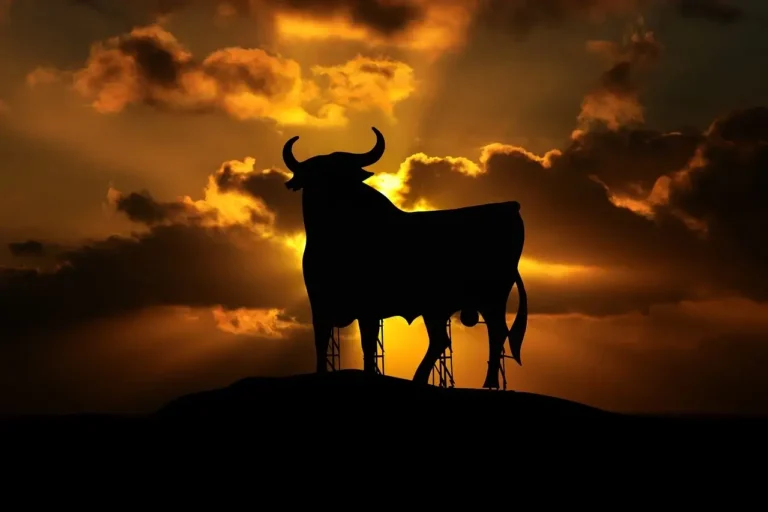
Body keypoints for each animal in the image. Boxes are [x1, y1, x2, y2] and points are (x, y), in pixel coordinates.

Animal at [282, 127, 528, 389]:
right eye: (315, 176)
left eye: (343, 174)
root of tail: (511, 207)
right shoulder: (319, 303)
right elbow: (321, 340)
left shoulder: (369, 307)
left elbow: (367, 343)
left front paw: (369, 374)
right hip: (437, 308)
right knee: (441, 340)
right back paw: (419, 378)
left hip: (492, 296)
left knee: (496, 332)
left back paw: (488, 382)